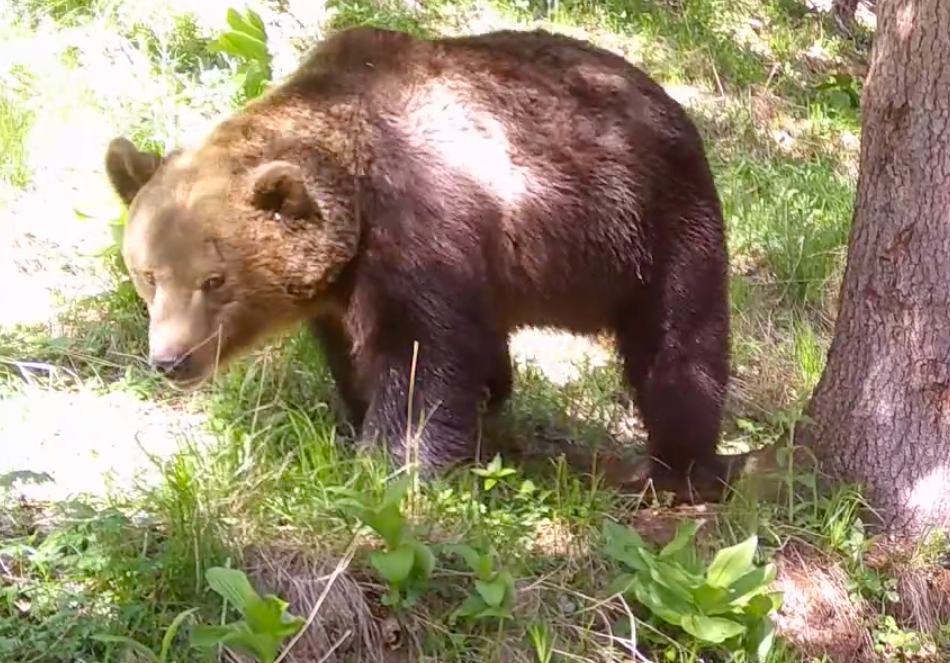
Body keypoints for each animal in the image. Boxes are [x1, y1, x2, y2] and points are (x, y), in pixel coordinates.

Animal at [100, 26, 732, 492]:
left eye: (215, 280)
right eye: (148, 275)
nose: (172, 359)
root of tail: (669, 102)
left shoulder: (419, 229)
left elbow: (418, 359)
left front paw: (392, 463)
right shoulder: (346, 288)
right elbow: (358, 353)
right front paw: (359, 422)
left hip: (650, 226)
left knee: (678, 346)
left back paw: (674, 467)